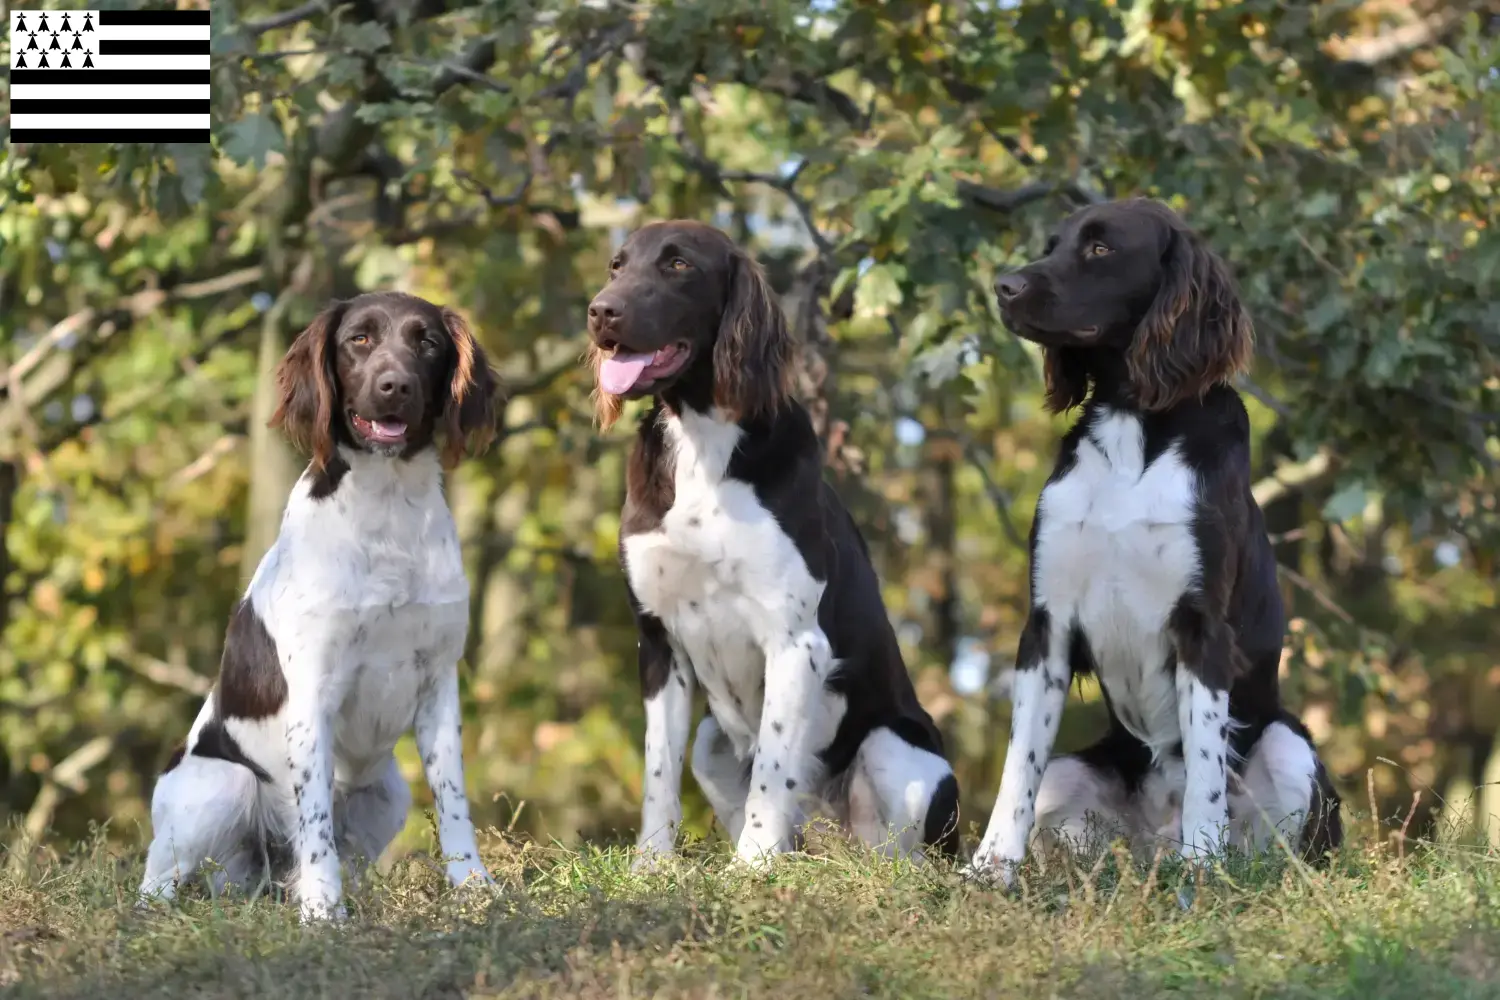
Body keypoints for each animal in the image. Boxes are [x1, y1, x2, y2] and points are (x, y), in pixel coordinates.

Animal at [137, 290, 498, 923]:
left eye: (427, 342)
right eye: (359, 339)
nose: (394, 386)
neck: (387, 507)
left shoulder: (438, 683)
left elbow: (453, 798)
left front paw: (473, 886)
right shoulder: (313, 691)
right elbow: (315, 820)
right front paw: (324, 912)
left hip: (387, 790)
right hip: (220, 787)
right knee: (156, 882)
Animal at [585, 218, 960, 869]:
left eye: (678, 265)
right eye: (617, 265)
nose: (601, 312)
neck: (703, 441)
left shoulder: (796, 641)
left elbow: (773, 763)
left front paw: (753, 865)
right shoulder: (658, 643)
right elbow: (659, 775)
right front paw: (652, 866)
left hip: (897, 749)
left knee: (900, 858)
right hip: (712, 739)